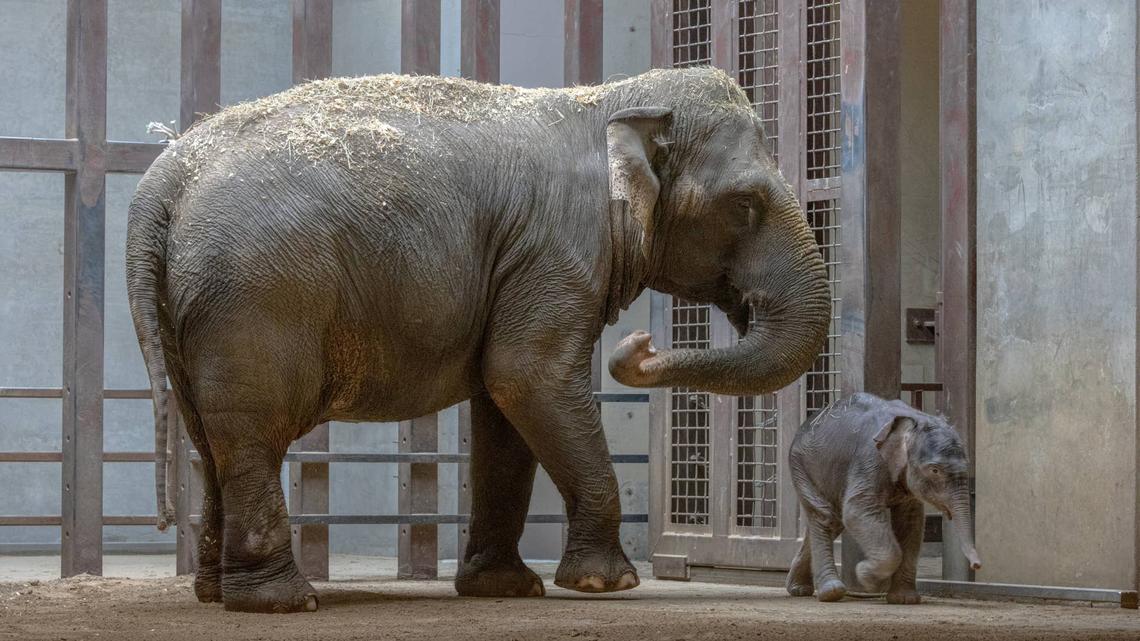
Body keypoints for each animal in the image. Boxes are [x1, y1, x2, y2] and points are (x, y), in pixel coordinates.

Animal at [126, 67, 832, 613]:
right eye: (744, 205)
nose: (639, 344)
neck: (607, 99)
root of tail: (160, 184)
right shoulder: (556, 247)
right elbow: (528, 378)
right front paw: (605, 585)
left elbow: (504, 406)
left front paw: (506, 589)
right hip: (255, 299)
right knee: (252, 433)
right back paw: (283, 602)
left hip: (195, 309)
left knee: (209, 436)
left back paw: (217, 594)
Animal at [785, 393, 982, 604]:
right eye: (935, 470)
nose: (977, 565)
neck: (914, 420)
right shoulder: (870, 459)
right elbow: (857, 510)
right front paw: (866, 578)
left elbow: (910, 522)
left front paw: (904, 599)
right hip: (802, 466)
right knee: (825, 517)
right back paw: (831, 592)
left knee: (834, 521)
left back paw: (799, 589)